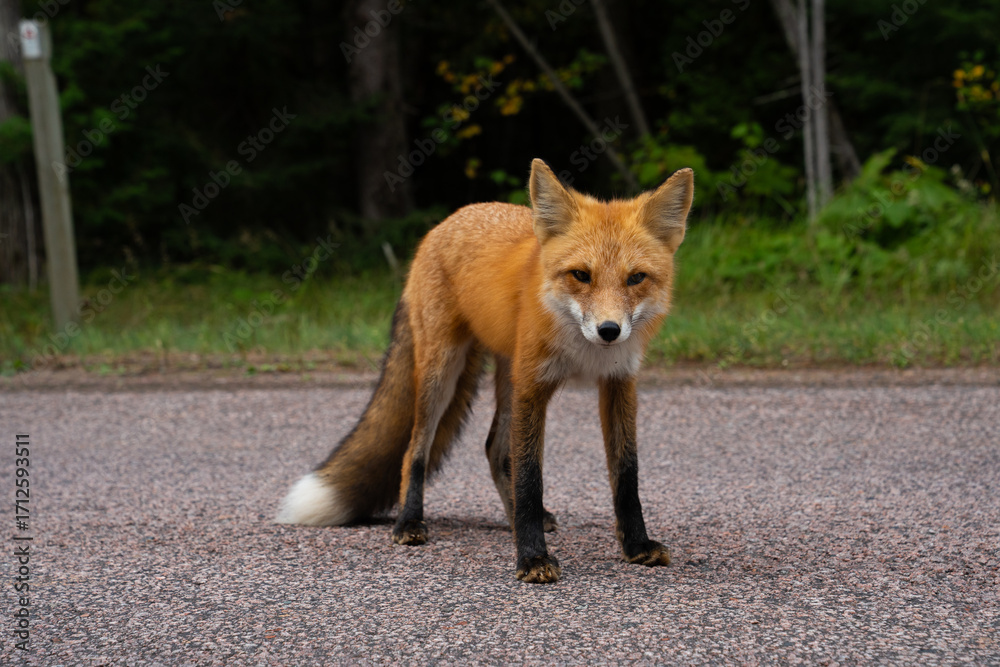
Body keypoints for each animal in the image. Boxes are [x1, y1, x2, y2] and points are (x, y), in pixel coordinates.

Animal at [276, 158, 694, 583]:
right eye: (581, 275)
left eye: (636, 278)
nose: (609, 331)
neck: (583, 352)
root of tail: (449, 220)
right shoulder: (532, 385)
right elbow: (529, 478)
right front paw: (532, 557)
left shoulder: (618, 383)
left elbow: (626, 474)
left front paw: (636, 545)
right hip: (443, 372)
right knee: (416, 447)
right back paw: (409, 521)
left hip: (505, 376)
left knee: (494, 448)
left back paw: (513, 521)